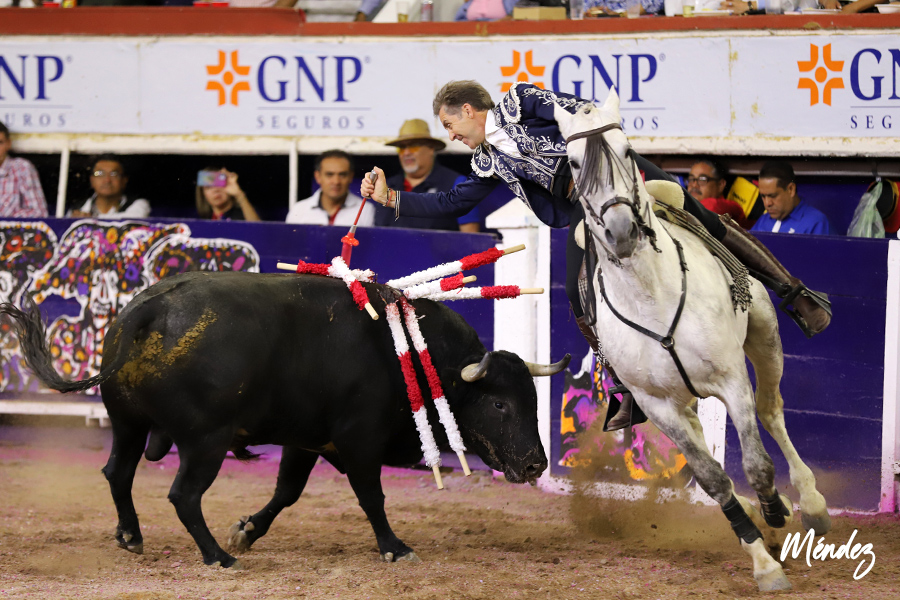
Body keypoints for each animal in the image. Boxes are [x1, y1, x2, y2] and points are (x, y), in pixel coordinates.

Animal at [1, 271, 569, 568]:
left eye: (533, 401)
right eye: (500, 405)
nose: (535, 464)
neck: (410, 353)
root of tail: (148, 309)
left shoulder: (306, 440)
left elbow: (286, 493)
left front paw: (247, 530)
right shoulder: (359, 441)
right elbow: (372, 497)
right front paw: (394, 547)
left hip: (128, 425)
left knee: (117, 473)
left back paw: (133, 536)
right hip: (206, 442)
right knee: (184, 495)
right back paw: (217, 558)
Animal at [553, 92, 831, 592]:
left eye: (627, 150)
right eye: (574, 161)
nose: (621, 231)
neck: (652, 296)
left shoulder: (731, 380)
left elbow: (757, 464)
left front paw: (774, 512)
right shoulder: (658, 405)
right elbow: (712, 478)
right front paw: (762, 560)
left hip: (764, 335)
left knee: (771, 410)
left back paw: (812, 505)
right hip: (683, 401)